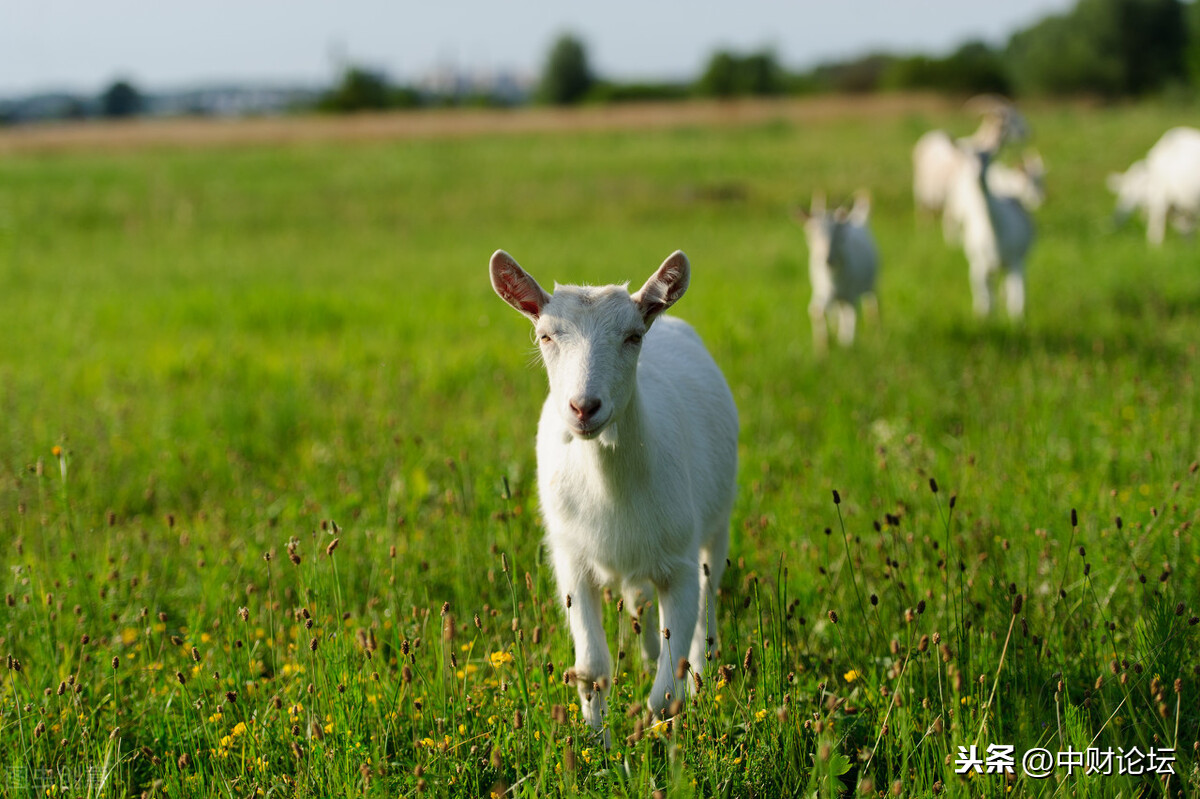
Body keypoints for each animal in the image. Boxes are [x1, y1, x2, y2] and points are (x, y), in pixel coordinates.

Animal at [489, 249, 739, 739]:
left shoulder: (679, 561)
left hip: (716, 524)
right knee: (639, 602)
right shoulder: (571, 560)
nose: (584, 407)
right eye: (545, 335)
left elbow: (666, 689)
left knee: (708, 597)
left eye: (633, 336)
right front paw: (598, 743)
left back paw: (704, 674)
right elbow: (591, 669)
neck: (610, 489)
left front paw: (656, 743)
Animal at [796, 189, 883, 352]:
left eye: (839, 233)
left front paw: (846, 344)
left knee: (871, 304)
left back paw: (876, 329)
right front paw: (823, 348)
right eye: (811, 232)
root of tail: (858, 217)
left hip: (871, 282)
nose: (827, 259)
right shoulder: (823, 289)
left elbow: (850, 316)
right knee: (837, 311)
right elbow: (816, 310)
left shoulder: (851, 293)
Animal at [945, 147, 1041, 316]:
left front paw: (1017, 321)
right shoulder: (978, 265)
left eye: (989, 158)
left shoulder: (1016, 260)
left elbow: (1016, 301)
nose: (977, 174)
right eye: (968, 158)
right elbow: (986, 303)